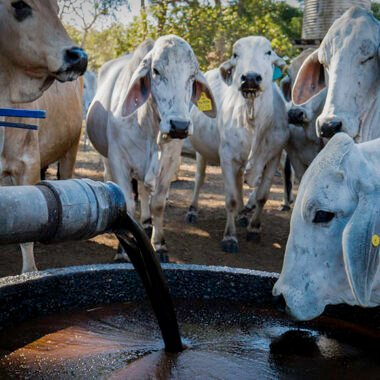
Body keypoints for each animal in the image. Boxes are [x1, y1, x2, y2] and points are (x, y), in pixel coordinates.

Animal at [0, 0, 87, 274]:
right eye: (19, 5)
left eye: (57, 8)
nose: (79, 57)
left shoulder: (27, 165)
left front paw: (29, 271)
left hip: (71, 148)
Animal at [87, 36, 217, 262]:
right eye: (155, 70)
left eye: (192, 75)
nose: (180, 126)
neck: (150, 126)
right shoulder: (119, 161)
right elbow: (128, 206)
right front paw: (122, 251)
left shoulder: (170, 164)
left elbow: (157, 203)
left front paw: (160, 245)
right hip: (106, 159)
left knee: (145, 191)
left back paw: (147, 223)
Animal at [187, 37, 288, 254]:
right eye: (236, 55)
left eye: (268, 52)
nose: (250, 78)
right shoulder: (227, 158)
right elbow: (231, 199)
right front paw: (230, 237)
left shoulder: (274, 157)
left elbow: (262, 196)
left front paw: (254, 229)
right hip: (202, 153)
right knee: (199, 179)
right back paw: (192, 210)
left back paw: (242, 215)